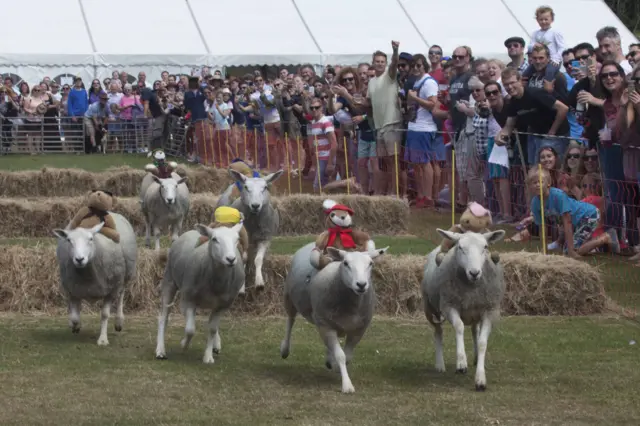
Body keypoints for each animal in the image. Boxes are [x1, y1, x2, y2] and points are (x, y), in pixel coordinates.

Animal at [52, 212, 138, 346]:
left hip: (125, 276)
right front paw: (75, 326)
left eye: (91, 239)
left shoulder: (111, 290)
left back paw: (119, 321)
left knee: (121, 295)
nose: (79, 259)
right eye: (69, 240)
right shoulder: (72, 289)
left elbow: (105, 314)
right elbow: (75, 317)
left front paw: (102, 339)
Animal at [155, 221, 245, 364]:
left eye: (237, 239)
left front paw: (208, 356)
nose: (230, 259)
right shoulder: (189, 299)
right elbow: (190, 329)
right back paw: (160, 351)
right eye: (214, 239)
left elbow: (212, 329)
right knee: (164, 317)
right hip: (169, 281)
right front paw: (184, 344)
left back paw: (216, 345)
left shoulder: (221, 305)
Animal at [278, 241, 388, 394]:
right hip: (289, 297)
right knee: (290, 320)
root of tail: (310, 244)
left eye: (371, 263)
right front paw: (347, 385)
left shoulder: (359, 329)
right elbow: (341, 355)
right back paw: (285, 349)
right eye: (346, 263)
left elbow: (347, 356)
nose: (361, 285)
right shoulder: (326, 325)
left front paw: (336, 367)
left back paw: (329, 359)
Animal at [422, 228, 508, 392]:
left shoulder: (490, 311)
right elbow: (459, 327)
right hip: (430, 308)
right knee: (438, 331)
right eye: (460, 248)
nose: (474, 273)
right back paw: (440, 365)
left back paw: (475, 357)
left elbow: (482, 342)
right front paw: (461, 363)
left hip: (475, 312)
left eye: (485, 247)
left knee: (475, 330)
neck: (471, 287)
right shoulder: (449, 306)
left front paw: (480, 379)